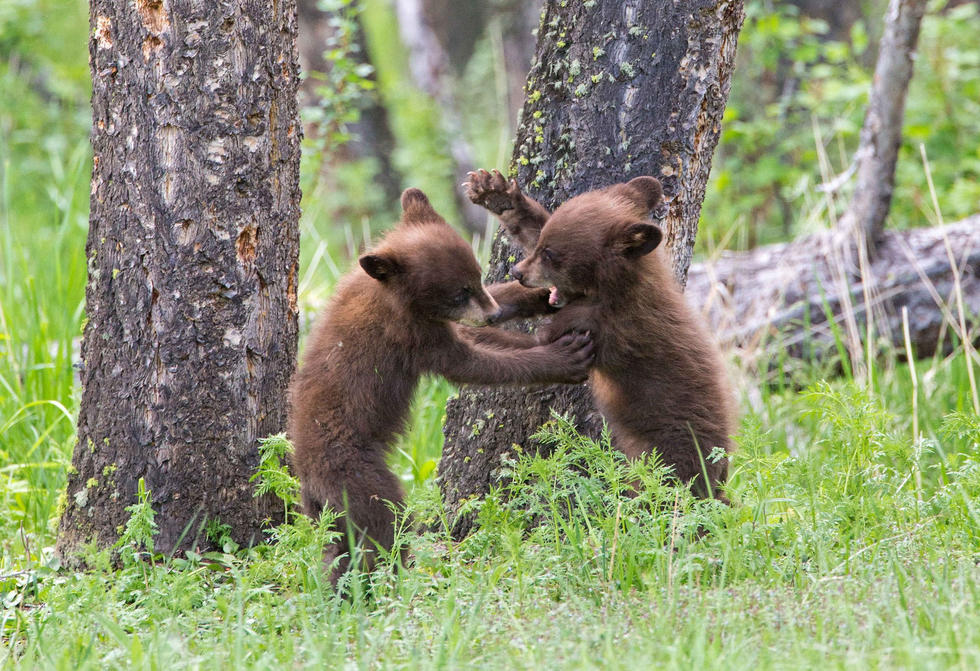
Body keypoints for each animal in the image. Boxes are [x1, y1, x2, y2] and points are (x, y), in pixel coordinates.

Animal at [287, 187, 595, 585]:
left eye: (477, 277)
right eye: (457, 293)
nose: (493, 315)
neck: (390, 293)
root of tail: (306, 476)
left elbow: (482, 331)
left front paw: (540, 295)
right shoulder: (412, 333)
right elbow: (471, 363)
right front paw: (564, 357)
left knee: (338, 547)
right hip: (356, 476)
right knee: (382, 529)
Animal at [466, 169, 736, 501]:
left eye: (550, 254)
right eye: (542, 244)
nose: (518, 273)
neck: (614, 289)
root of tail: (720, 476)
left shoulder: (610, 327)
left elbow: (535, 342)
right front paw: (497, 194)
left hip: (670, 456)